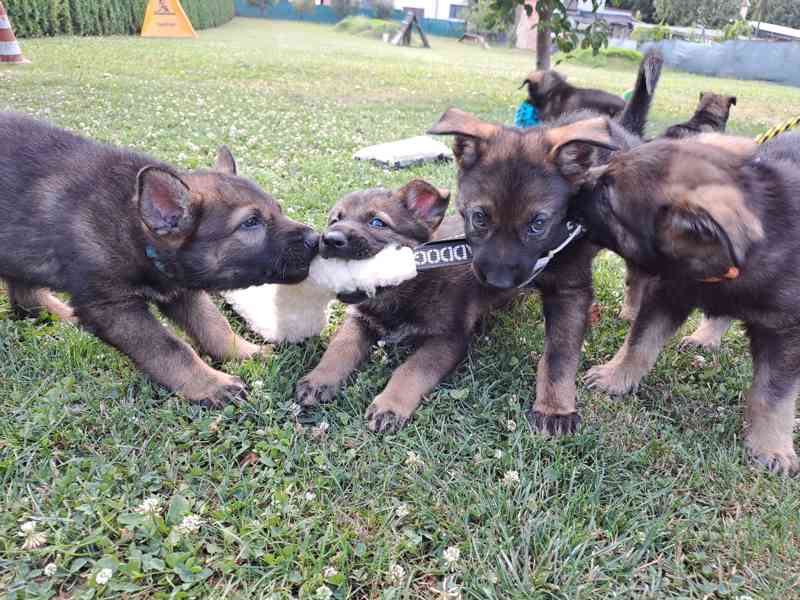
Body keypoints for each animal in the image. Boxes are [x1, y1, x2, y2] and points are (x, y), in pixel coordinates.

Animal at [0, 114, 318, 408]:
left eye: (278, 209)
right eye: (251, 222)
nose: (316, 240)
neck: (136, 231)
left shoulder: (182, 290)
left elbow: (214, 324)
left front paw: (244, 353)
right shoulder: (114, 307)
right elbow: (171, 349)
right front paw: (212, 384)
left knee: (25, 297)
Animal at [296, 178, 520, 432]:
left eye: (377, 222)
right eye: (335, 220)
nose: (329, 240)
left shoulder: (447, 338)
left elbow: (411, 369)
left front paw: (390, 404)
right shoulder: (358, 320)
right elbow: (339, 348)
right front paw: (319, 379)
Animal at [568, 130, 800, 474]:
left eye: (607, 196)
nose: (567, 183)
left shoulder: (784, 332)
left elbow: (772, 394)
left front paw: (771, 447)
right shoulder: (668, 292)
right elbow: (639, 344)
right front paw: (615, 377)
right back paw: (705, 337)